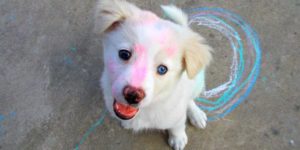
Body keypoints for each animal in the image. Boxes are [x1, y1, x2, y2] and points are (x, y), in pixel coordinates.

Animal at [95, 0, 211, 149]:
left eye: (162, 69)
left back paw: (196, 114)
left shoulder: (177, 115)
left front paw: (178, 138)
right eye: (124, 54)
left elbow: (178, 126)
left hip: (196, 83)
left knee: (190, 99)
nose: (133, 95)